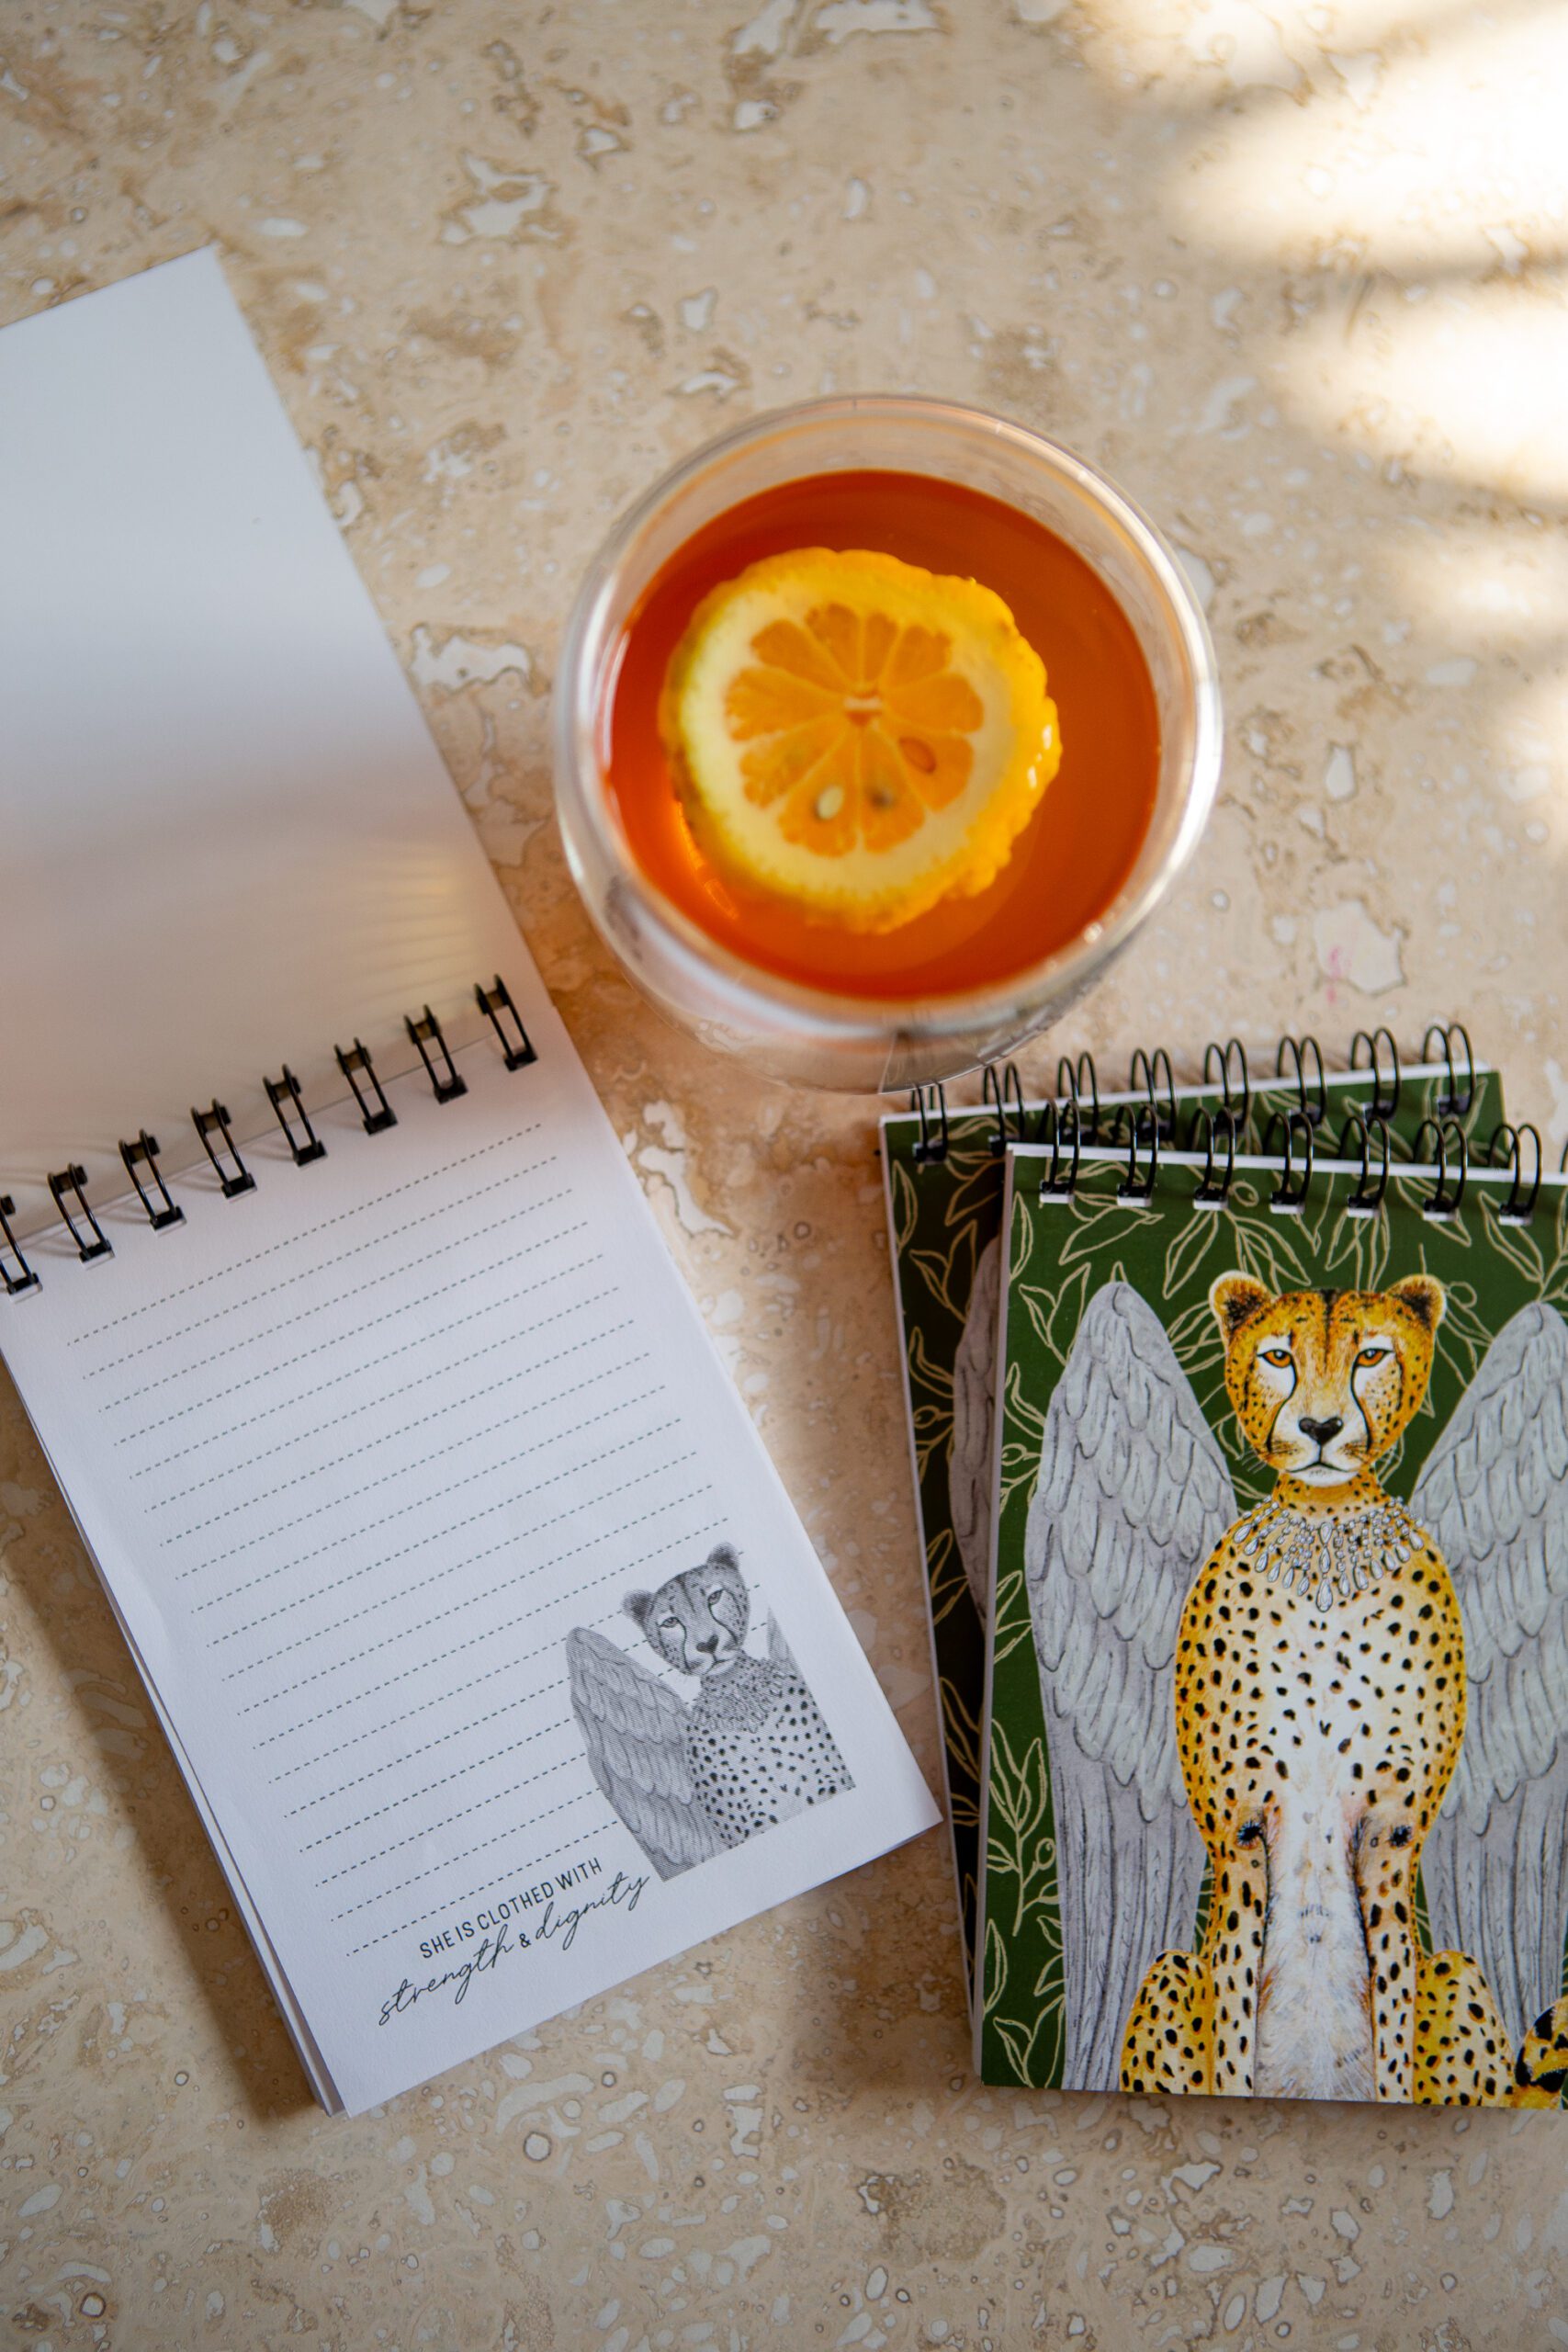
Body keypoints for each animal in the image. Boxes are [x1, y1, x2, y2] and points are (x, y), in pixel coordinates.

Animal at [1118, 1271, 1568, 2106]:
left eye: (1369, 1355)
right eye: (1276, 1356)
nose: (1322, 1426)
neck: (1325, 1528)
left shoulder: (1390, 1834)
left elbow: (1392, 2025)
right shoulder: (1239, 1835)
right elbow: (1230, 2029)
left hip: (1457, 1968)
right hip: (1166, 1970)